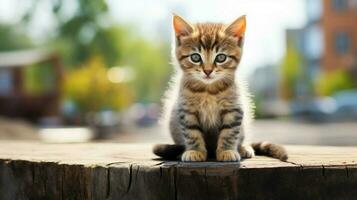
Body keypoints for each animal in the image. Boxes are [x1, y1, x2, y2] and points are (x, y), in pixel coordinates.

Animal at [153, 14, 286, 162]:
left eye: (221, 57)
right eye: (195, 57)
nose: (207, 71)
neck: (208, 90)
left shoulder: (234, 108)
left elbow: (229, 132)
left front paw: (227, 151)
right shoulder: (186, 110)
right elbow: (192, 132)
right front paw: (195, 151)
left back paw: (243, 148)